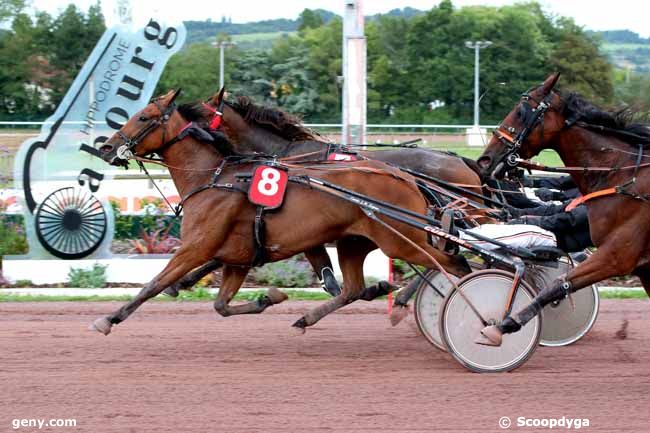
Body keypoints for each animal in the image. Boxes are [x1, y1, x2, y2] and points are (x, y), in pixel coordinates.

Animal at [90, 90, 466, 334]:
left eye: (144, 117)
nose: (105, 147)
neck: (217, 178)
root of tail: (408, 179)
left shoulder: (196, 247)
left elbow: (154, 284)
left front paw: (109, 319)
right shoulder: (238, 257)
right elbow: (221, 304)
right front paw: (268, 297)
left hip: (400, 239)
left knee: (455, 264)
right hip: (356, 241)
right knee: (356, 287)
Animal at [470, 71, 648, 344]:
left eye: (520, 112)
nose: (484, 160)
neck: (625, 177)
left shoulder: (618, 255)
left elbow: (558, 283)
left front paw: (505, 324)